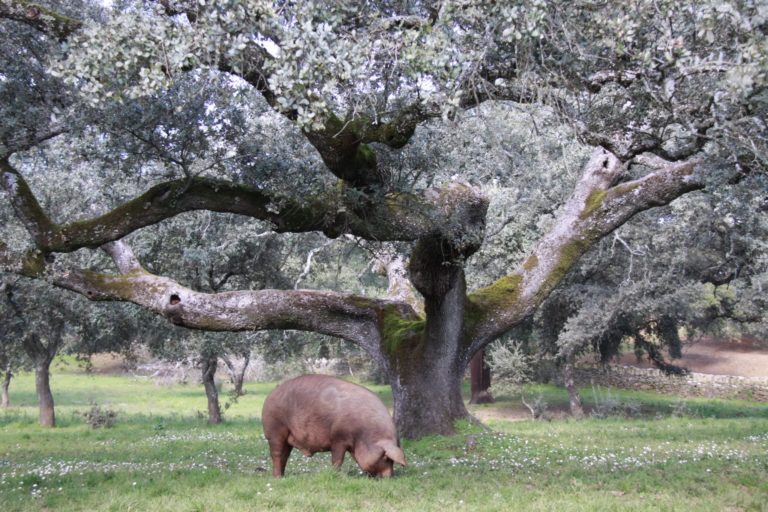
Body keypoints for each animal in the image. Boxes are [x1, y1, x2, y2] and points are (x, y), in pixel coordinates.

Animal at [262, 374, 408, 478]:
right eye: (385, 458)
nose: (390, 477)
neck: (364, 433)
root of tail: (271, 394)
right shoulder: (339, 437)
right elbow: (337, 459)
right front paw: (336, 475)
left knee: (284, 456)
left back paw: (283, 476)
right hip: (275, 429)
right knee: (276, 454)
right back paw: (277, 477)